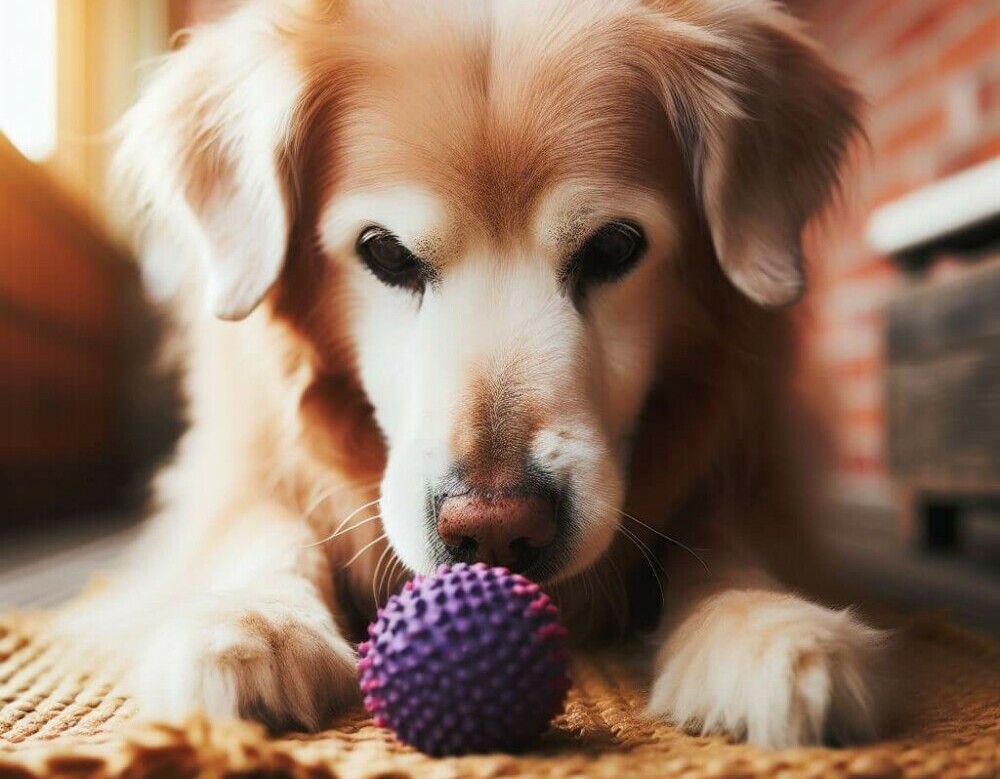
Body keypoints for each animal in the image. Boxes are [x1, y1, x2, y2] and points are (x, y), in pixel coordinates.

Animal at [68, 0, 884, 748]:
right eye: (386, 252)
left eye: (615, 247)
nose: (496, 529)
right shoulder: (233, 465)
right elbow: (260, 524)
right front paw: (251, 622)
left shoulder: (757, 457)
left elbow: (727, 530)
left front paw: (767, 621)